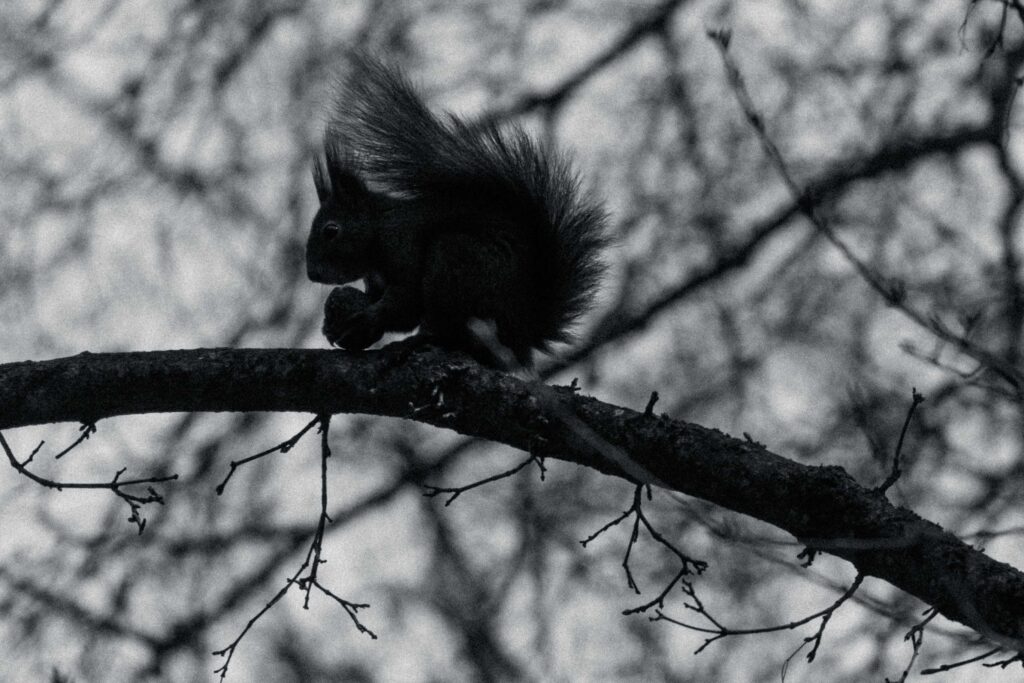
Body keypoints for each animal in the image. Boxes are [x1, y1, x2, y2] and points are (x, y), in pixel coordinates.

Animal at [305, 54, 608, 367]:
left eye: (331, 230)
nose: (312, 274)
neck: (377, 228)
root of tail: (521, 337)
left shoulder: (402, 243)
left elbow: (406, 302)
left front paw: (365, 320)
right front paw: (335, 327)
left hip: (456, 262)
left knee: (448, 329)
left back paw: (421, 340)